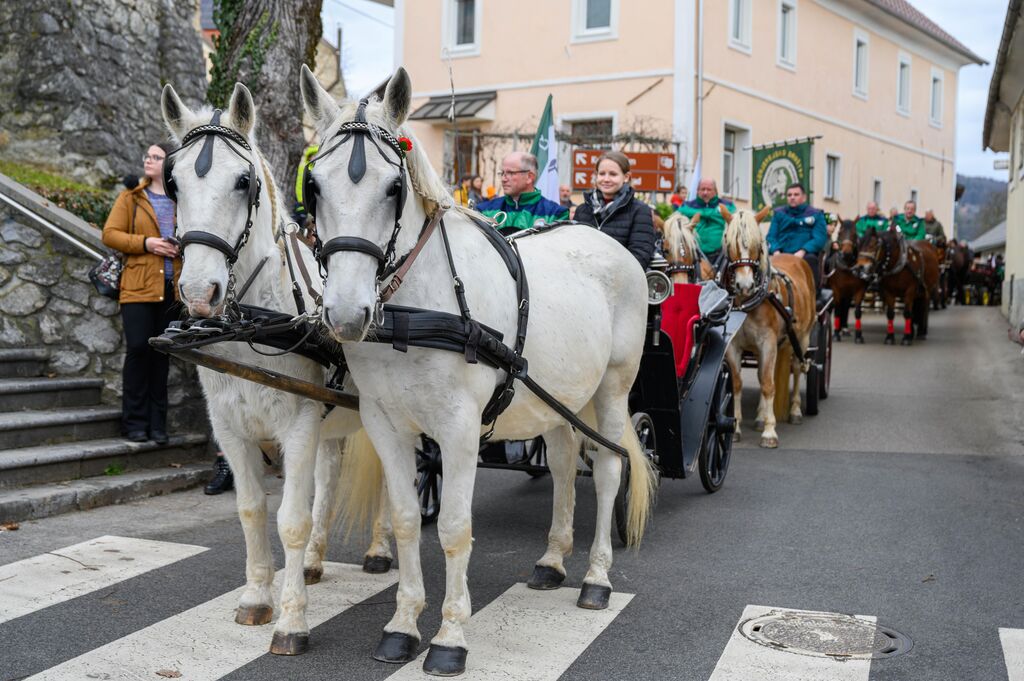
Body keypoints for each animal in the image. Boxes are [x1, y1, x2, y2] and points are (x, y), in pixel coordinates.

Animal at [161, 82, 393, 655]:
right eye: (172, 184)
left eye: (243, 181)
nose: (198, 293)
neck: (256, 322)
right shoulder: (230, 428)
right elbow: (251, 510)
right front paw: (256, 598)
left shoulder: (298, 425)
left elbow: (290, 518)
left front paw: (291, 621)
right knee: (329, 479)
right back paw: (312, 562)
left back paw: (379, 549)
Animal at [299, 63, 655, 675]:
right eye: (315, 186)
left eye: (393, 189)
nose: (345, 314)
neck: (416, 313)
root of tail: (604, 239)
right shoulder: (384, 424)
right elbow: (405, 518)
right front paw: (402, 626)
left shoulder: (461, 429)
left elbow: (454, 528)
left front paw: (449, 637)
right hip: (558, 399)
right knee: (565, 462)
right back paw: (553, 561)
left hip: (612, 390)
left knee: (609, 468)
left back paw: (596, 579)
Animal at [720, 209, 815, 448]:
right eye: (730, 242)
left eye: (758, 245)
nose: (744, 285)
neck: (746, 302)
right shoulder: (734, 345)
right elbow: (737, 384)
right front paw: (735, 427)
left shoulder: (768, 343)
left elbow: (768, 385)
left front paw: (770, 432)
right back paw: (760, 417)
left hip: (801, 338)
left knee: (797, 368)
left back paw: (795, 411)